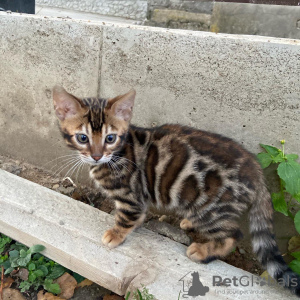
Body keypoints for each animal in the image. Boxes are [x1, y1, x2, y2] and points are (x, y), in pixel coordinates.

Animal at [52, 86, 300, 296]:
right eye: (82, 138)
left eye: (110, 138)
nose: (96, 155)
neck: (117, 154)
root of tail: (256, 169)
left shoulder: (130, 196)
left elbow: (126, 217)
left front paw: (116, 234)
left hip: (209, 209)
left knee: (233, 234)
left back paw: (204, 251)